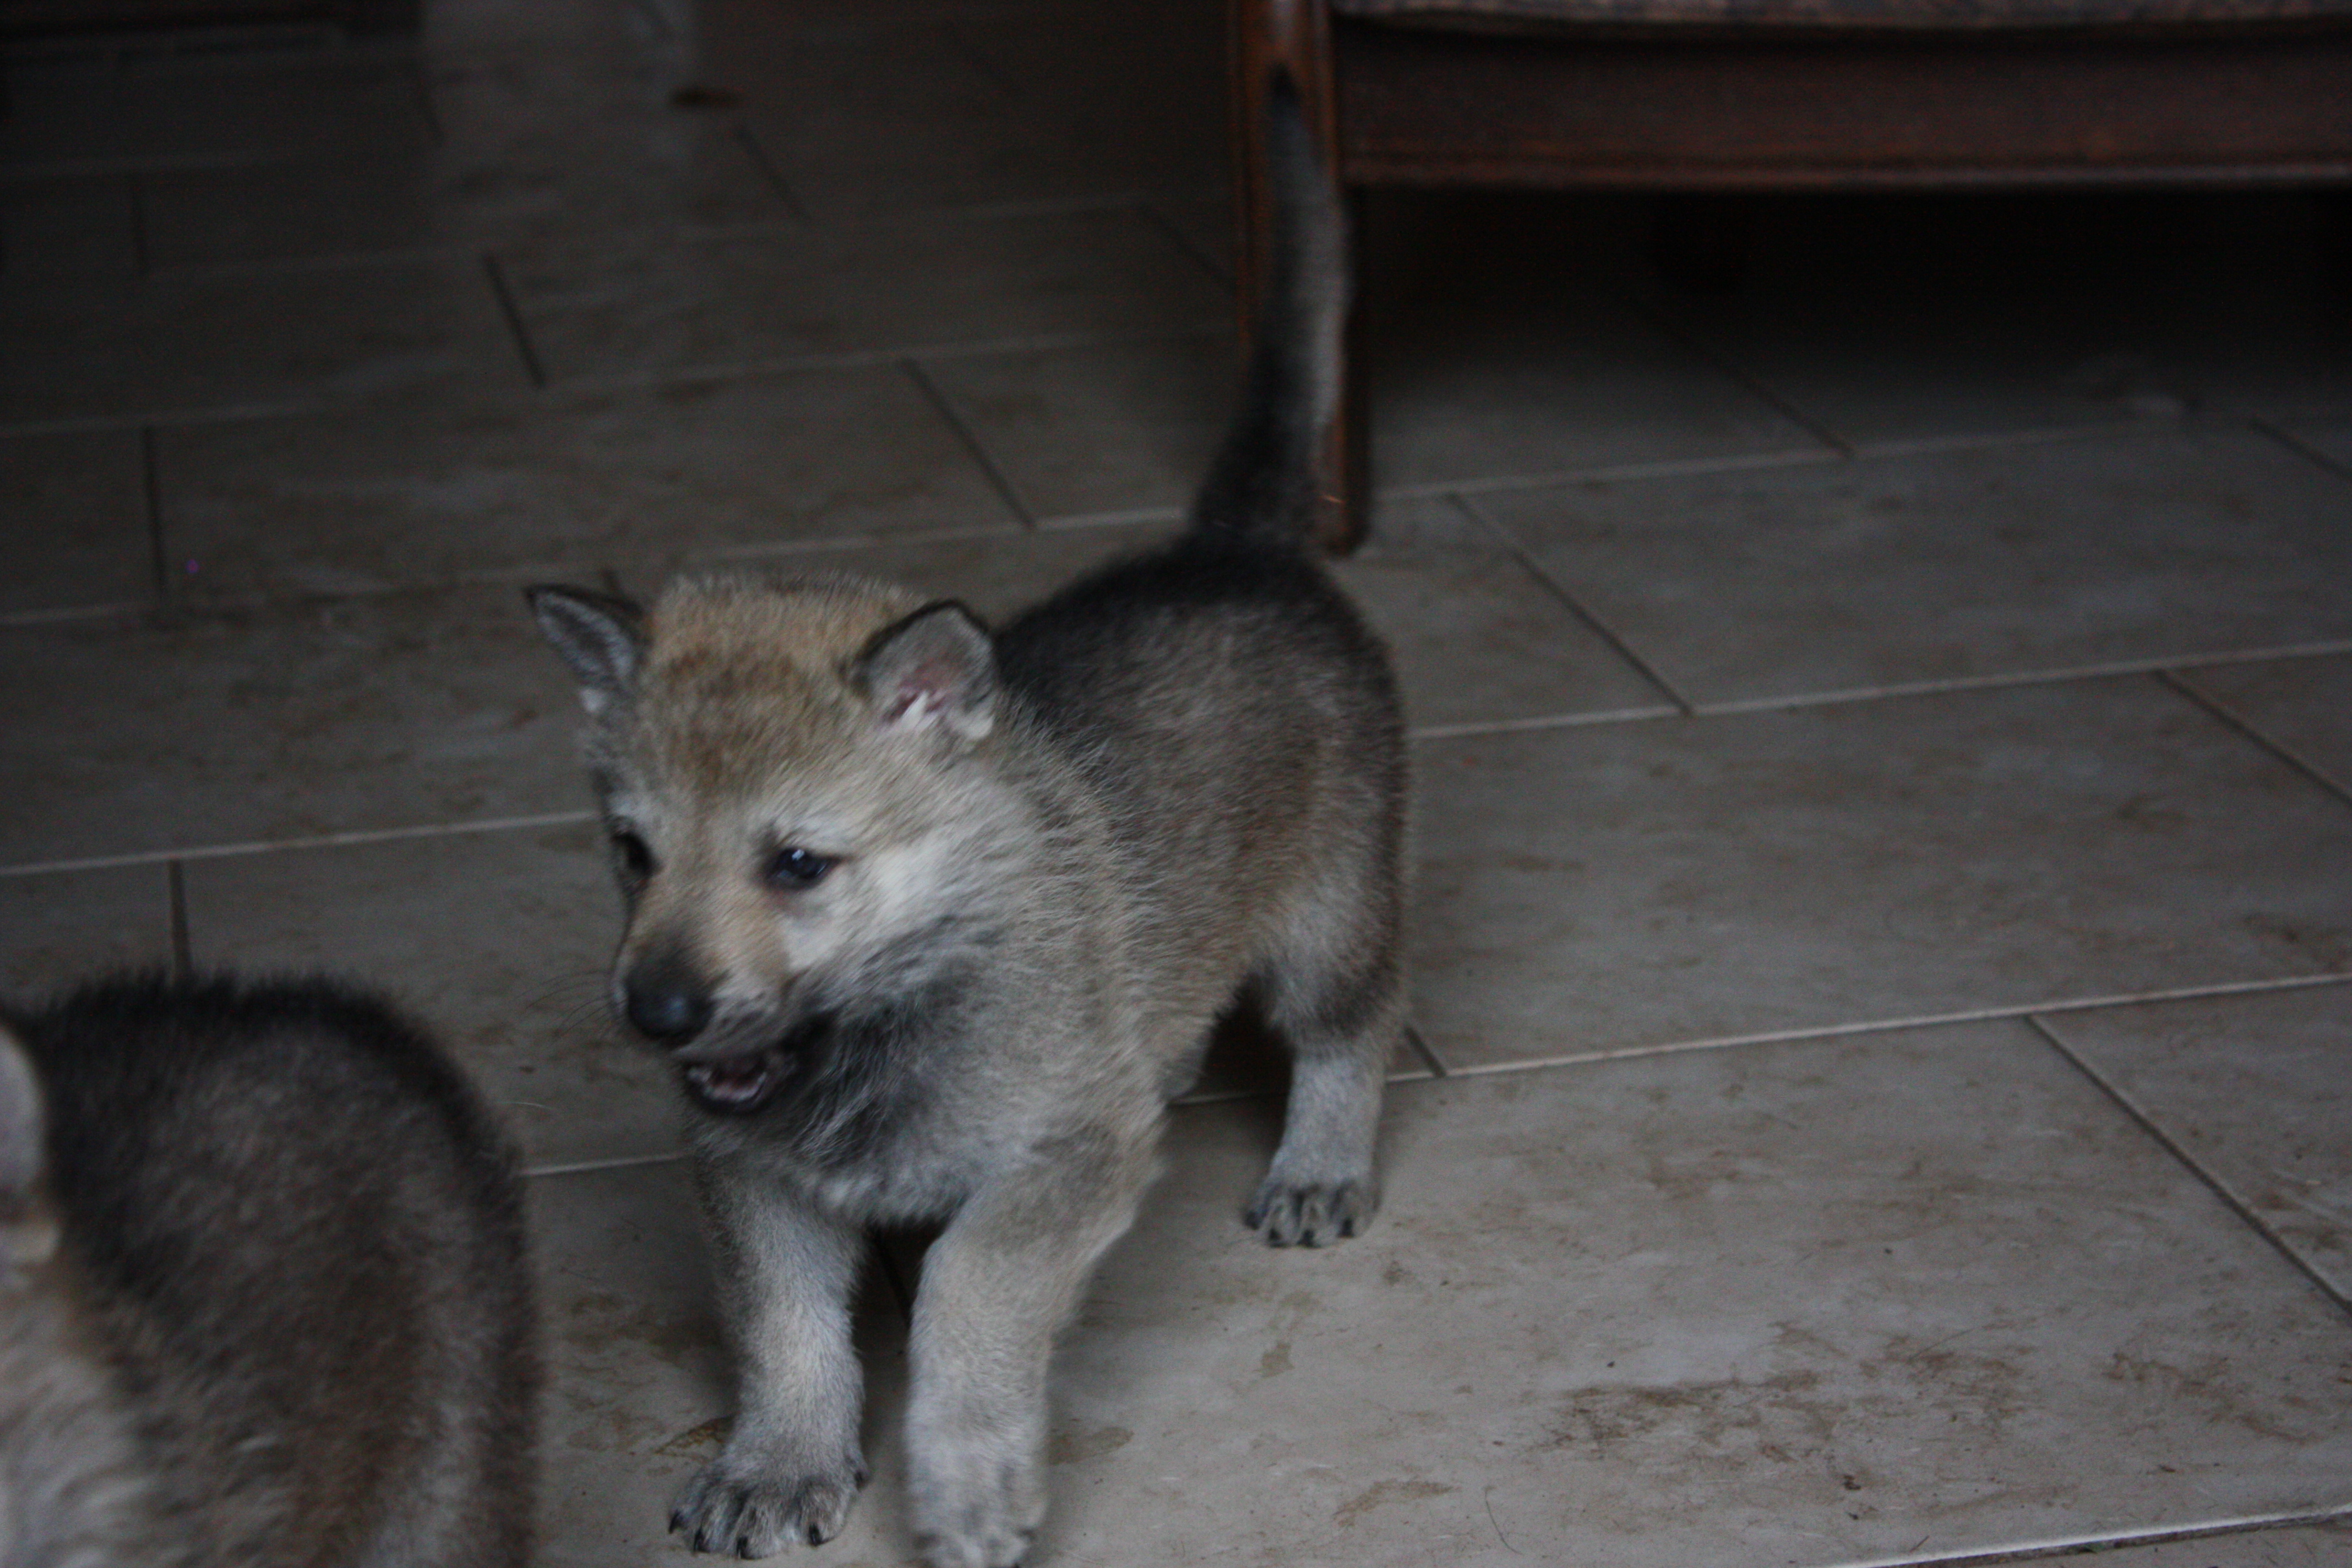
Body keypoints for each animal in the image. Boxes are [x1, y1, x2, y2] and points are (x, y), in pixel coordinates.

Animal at [529, 70, 1392, 1568]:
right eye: (632, 853)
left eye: (798, 862)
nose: (659, 1016)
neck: (897, 1000)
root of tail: (1234, 549)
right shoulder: (750, 1178)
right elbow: (783, 1332)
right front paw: (780, 1458)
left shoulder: (1062, 1158)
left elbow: (967, 1293)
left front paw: (970, 1473)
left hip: (1329, 920)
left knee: (1354, 1026)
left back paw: (1322, 1160)